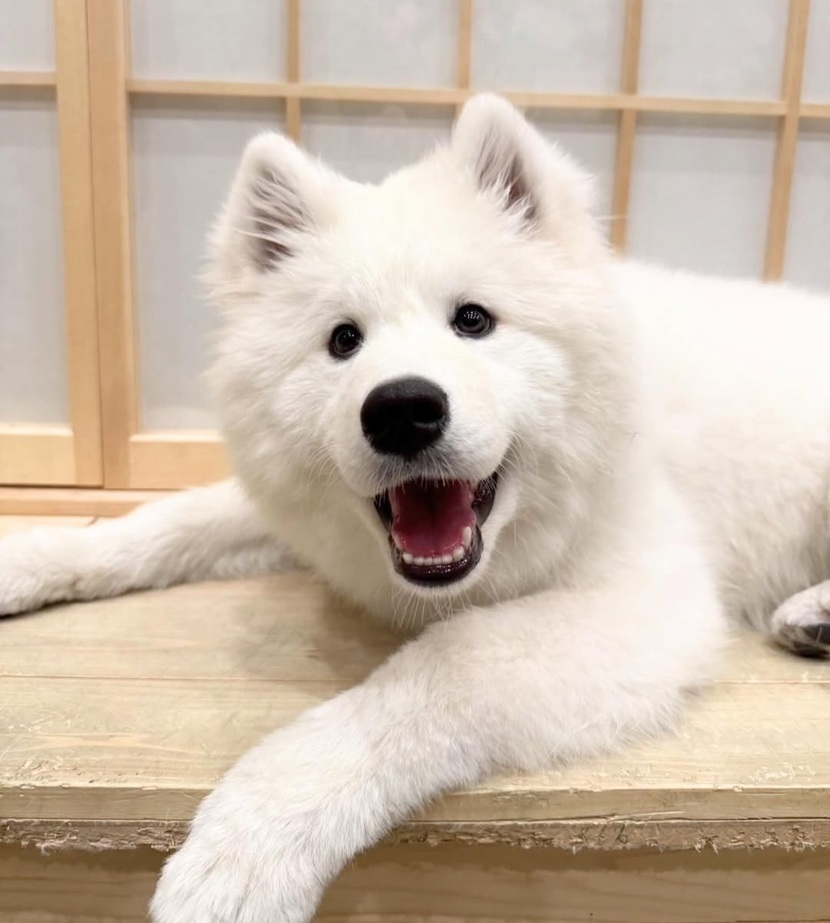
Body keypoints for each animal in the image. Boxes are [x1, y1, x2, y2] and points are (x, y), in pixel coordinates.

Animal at [1, 94, 829, 922]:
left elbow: (445, 665)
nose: (402, 409)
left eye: (473, 320)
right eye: (342, 340)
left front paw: (254, 838)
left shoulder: (645, 600)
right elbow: (163, 523)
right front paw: (32, 558)